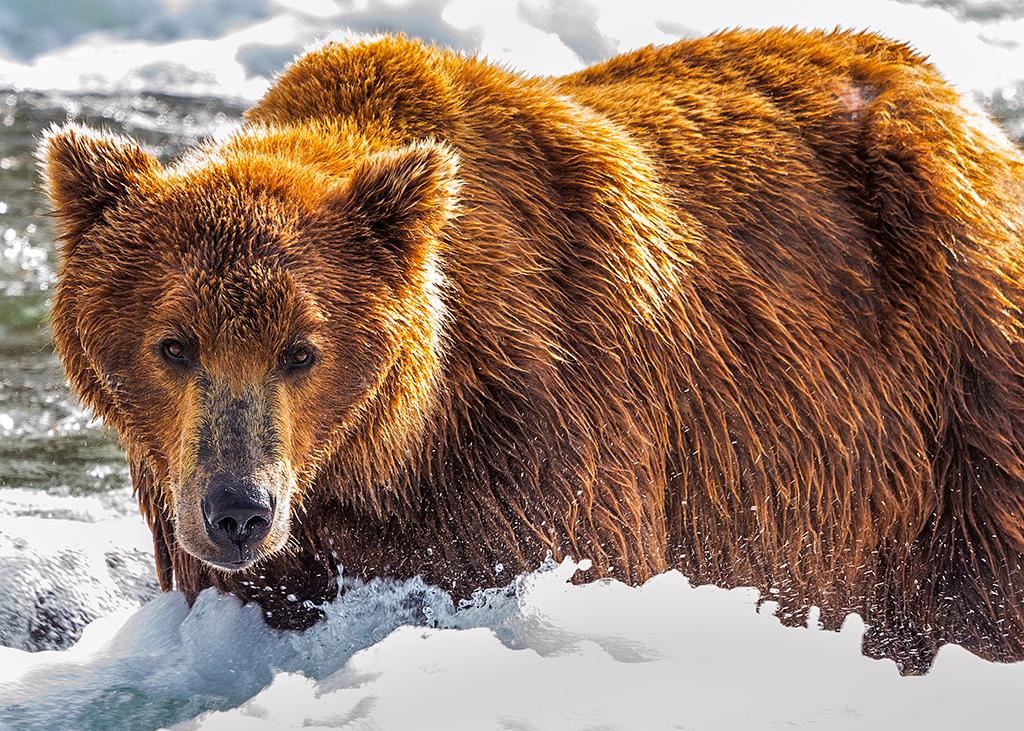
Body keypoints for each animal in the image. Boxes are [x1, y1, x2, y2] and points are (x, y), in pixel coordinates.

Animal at [37, 28, 1024, 671]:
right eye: (174, 344)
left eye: (301, 350)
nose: (239, 509)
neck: (395, 451)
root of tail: (966, 112)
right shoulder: (213, 514)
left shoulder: (547, 437)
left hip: (950, 402)